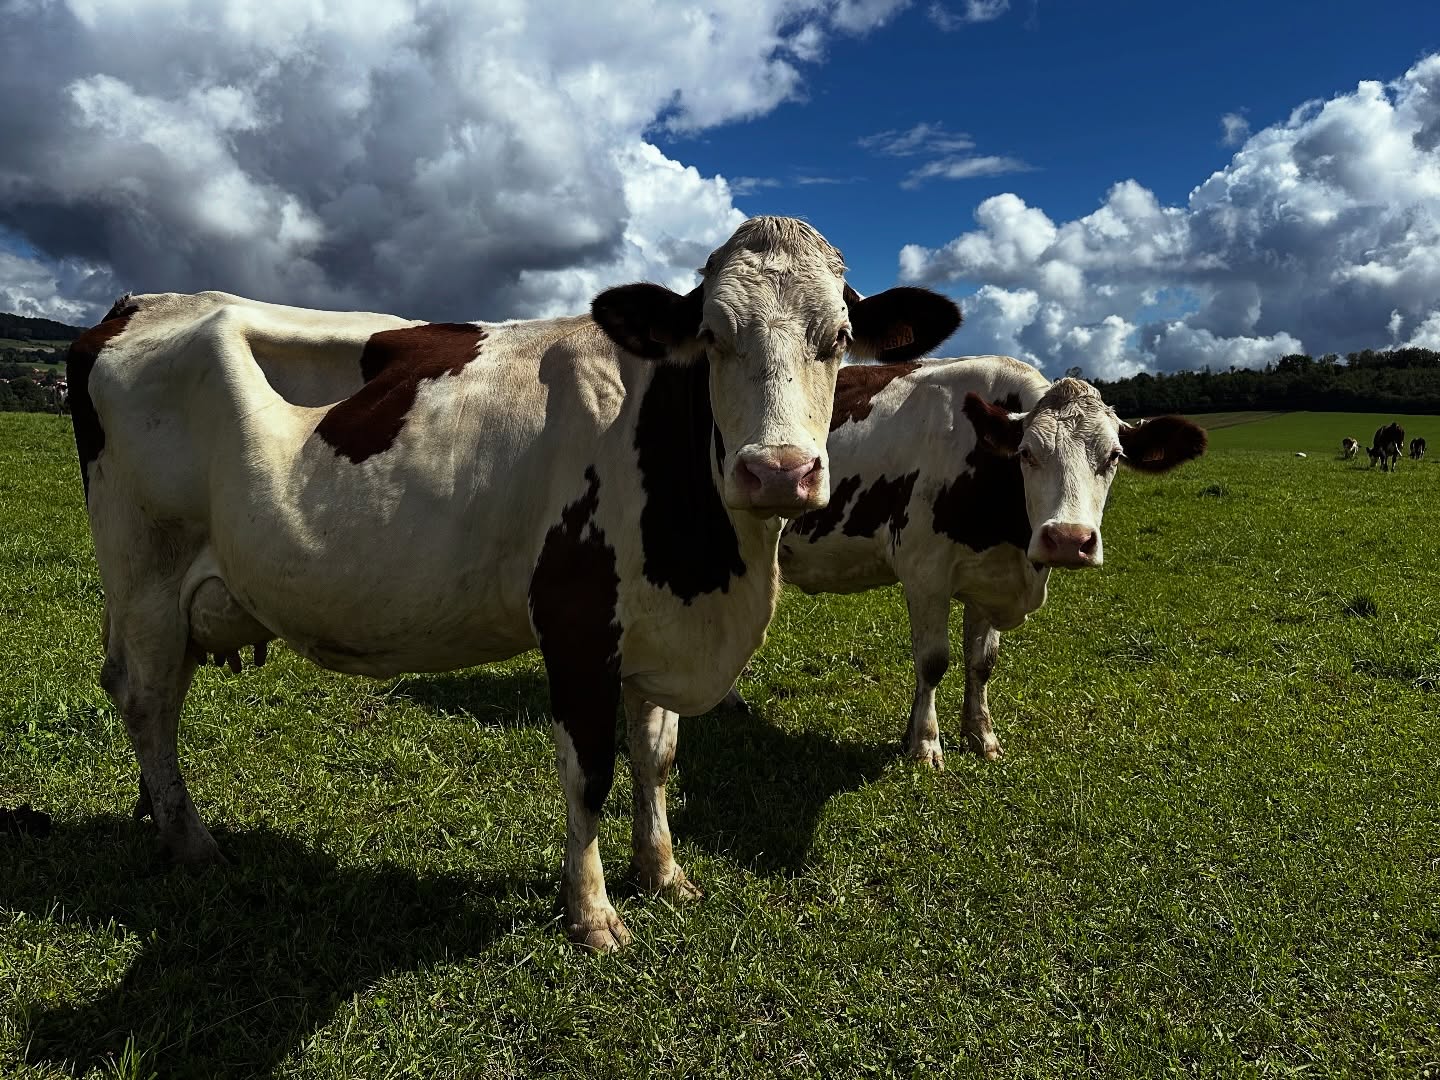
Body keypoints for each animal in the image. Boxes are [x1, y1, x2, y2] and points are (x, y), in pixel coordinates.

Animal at [66, 216, 961, 952]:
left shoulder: (653, 628)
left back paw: (158, 814)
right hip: (145, 574)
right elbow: (591, 773)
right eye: (711, 334)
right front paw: (592, 913)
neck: (709, 568)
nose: (778, 472)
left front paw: (663, 872)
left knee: (157, 699)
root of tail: (145, 302)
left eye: (838, 336)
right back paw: (192, 842)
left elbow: (656, 757)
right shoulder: (576, 626)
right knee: (146, 699)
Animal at [736, 357, 1205, 768]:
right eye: (1027, 454)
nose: (1068, 539)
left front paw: (980, 735)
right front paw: (925, 744)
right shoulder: (925, 574)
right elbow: (933, 661)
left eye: (1113, 456)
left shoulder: (990, 578)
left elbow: (982, 662)